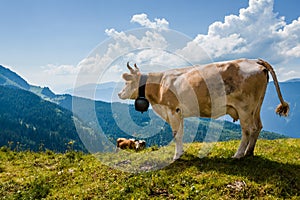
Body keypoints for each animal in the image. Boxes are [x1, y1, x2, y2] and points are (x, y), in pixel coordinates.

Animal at [118, 58, 290, 160]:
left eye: (126, 82)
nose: (119, 93)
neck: (160, 84)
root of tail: (255, 61)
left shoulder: (173, 110)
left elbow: (176, 134)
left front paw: (176, 157)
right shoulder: (179, 113)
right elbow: (181, 133)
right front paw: (181, 153)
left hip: (245, 108)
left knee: (248, 129)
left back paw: (238, 154)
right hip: (256, 106)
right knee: (258, 126)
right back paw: (249, 152)